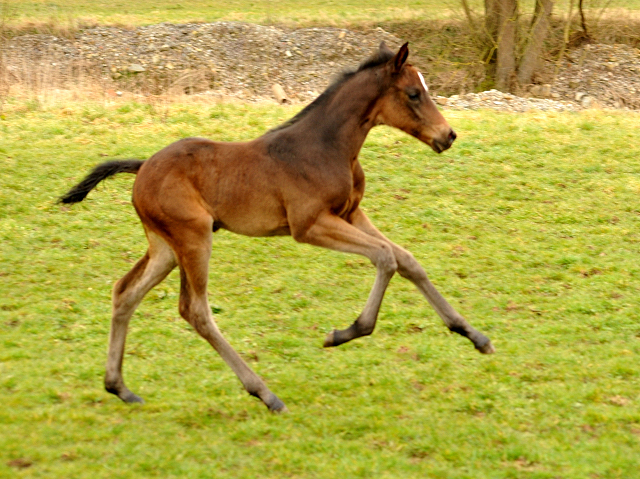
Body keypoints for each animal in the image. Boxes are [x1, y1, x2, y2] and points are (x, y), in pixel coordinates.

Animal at [61, 43, 496, 414]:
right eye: (413, 94)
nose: (448, 136)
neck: (328, 147)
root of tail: (142, 167)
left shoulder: (351, 214)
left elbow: (407, 260)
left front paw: (472, 334)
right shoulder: (310, 225)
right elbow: (386, 257)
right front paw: (346, 332)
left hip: (165, 247)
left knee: (125, 293)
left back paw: (119, 387)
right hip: (193, 236)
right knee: (195, 309)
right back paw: (265, 393)